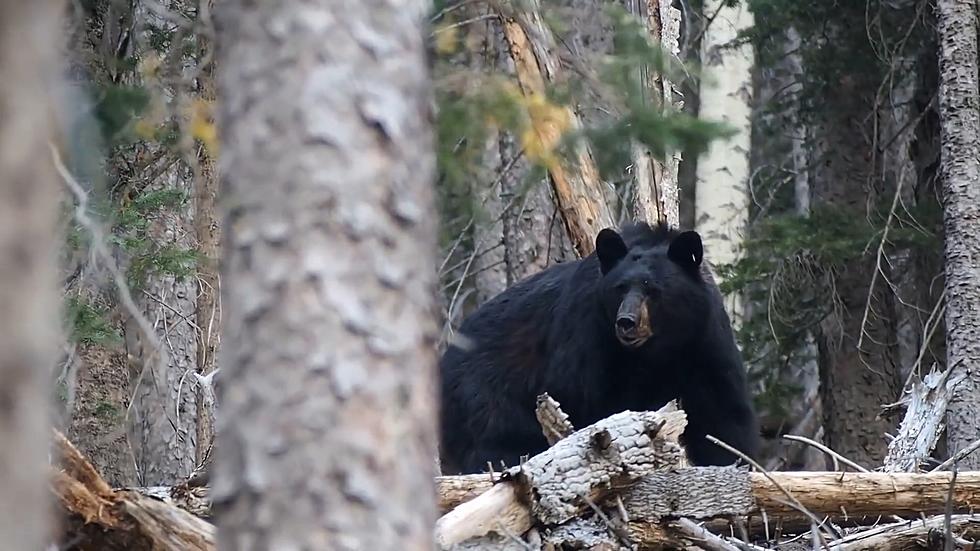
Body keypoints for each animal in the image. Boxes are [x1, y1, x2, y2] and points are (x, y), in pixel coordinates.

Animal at [440, 220, 760, 474]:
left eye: (653, 289)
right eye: (620, 287)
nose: (626, 322)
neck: (659, 349)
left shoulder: (704, 341)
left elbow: (722, 414)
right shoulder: (589, 335)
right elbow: (591, 403)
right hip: (484, 398)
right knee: (496, 444)